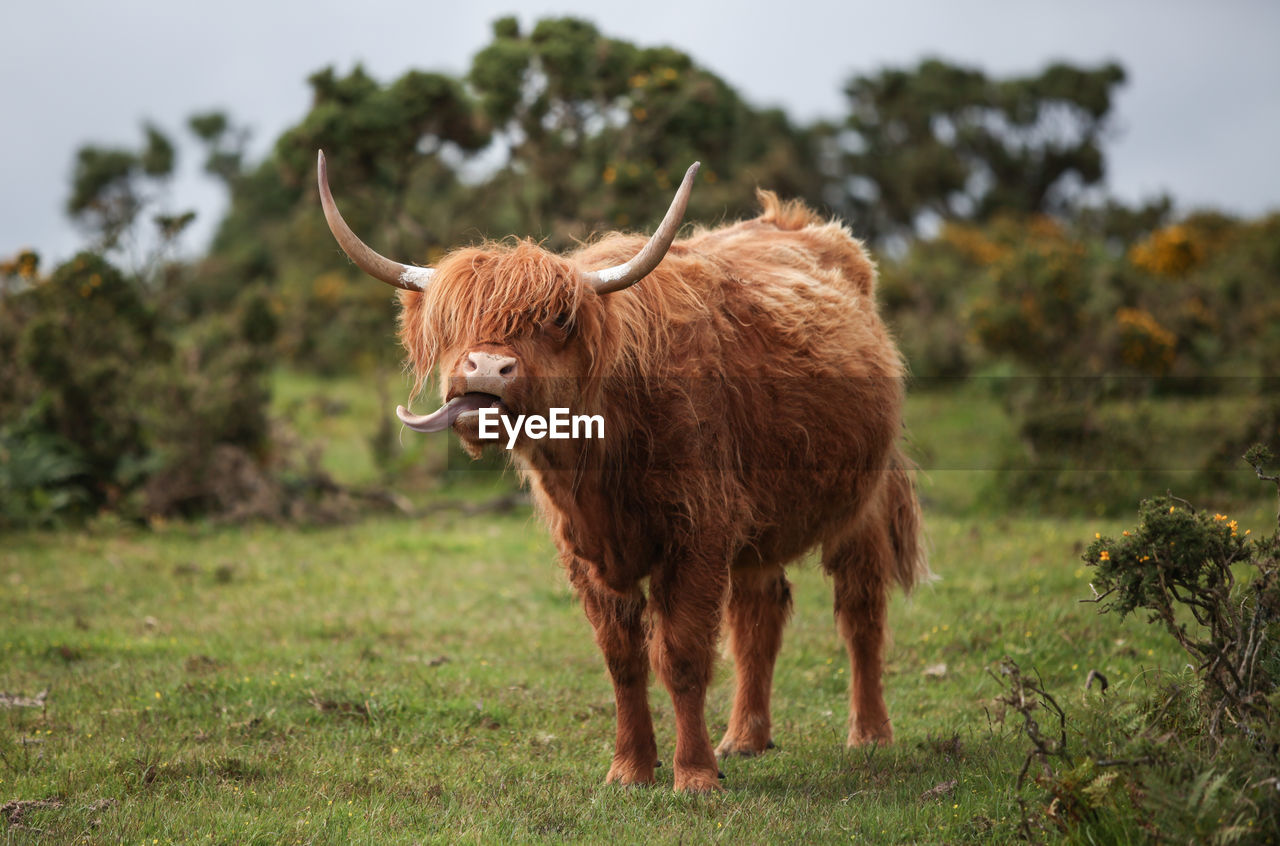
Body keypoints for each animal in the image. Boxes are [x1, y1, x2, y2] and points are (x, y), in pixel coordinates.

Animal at [316, 151, 926, 793]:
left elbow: (682, 655)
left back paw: (869, 735)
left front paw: (695, 775)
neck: (601, 462)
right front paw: (630, 769)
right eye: (453, 322)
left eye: (557, 320)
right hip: (757, 524)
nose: (485, 367)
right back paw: (745, 739)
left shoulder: (699, 532)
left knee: (860, 611)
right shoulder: (590, 551)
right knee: (759, 615)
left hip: (864, 503)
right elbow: (622, 659)